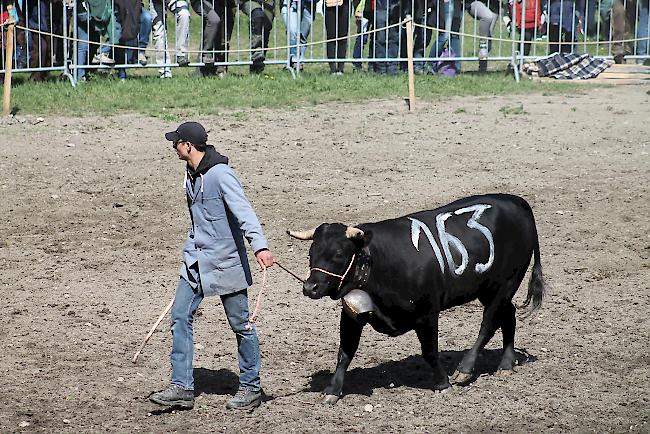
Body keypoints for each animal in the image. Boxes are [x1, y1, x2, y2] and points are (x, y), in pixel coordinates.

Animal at [288, 193, 540, 404]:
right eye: (311, 253)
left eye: (339, 254)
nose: (310, 287)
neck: (378, 261)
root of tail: (515, 201)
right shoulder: (351, 314)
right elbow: (345, 352)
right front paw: (332, 390)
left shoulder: (427, 314)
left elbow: (429, 351)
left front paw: (443, 383)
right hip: (489, 289)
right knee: (508, 314)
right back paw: (506, 362)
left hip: (506, 283)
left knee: (489, 322)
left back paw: (465, 369)